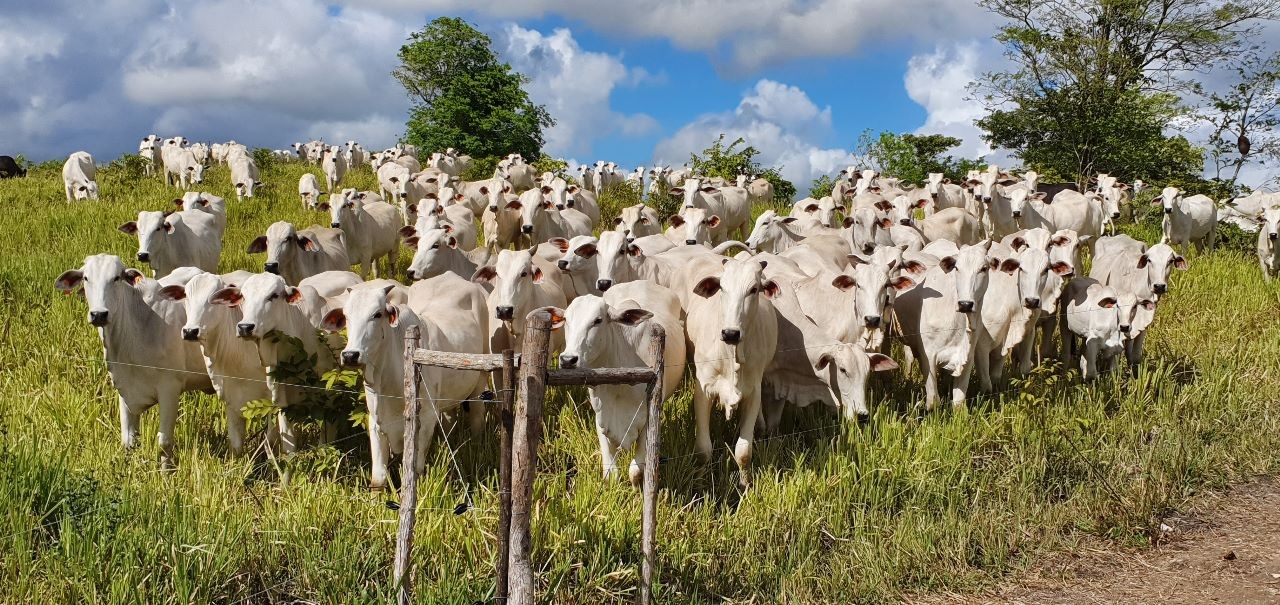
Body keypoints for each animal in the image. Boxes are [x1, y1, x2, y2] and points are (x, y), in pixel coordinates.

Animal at [555, 280, 686, 483]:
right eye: (566, 320)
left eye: (598, 320)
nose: (568, 359)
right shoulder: (601, 417)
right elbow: (611, 473)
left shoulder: (648, 419)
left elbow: (636, 471)